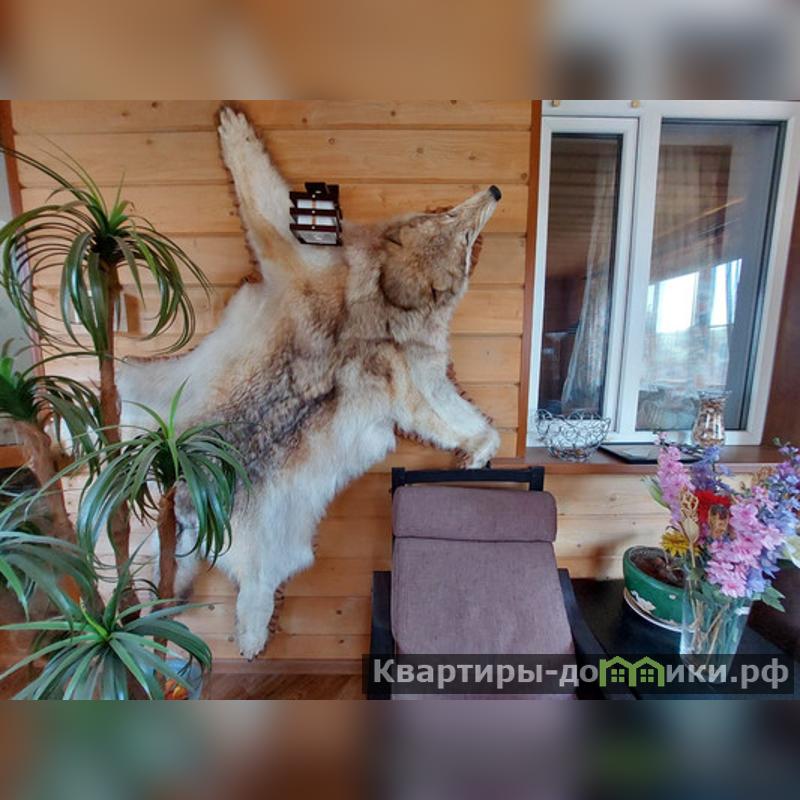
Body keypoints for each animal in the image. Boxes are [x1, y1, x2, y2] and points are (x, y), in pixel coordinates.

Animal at [119, 108, 502, 659]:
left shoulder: (413, 382)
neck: (385, 301)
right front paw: (234, 125)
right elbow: (263, 193)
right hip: (142, 396)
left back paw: (232, 635)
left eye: (465, 238)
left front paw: (477, 452)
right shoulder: (307, 264)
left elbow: (466, 424)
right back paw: (248, 638)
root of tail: (195, 506)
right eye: (452, 221)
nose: (495, 189)